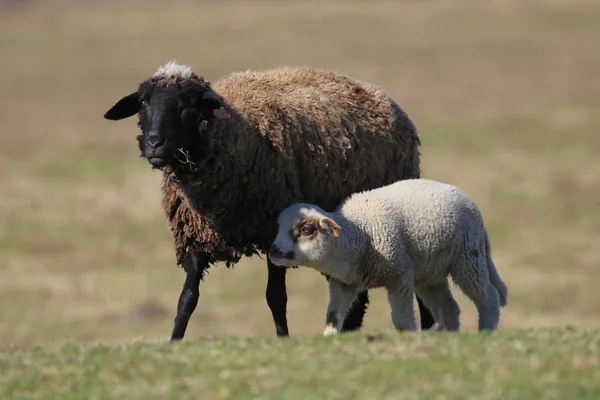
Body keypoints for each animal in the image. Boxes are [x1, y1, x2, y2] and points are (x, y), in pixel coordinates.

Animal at [101, 61, 434, 340]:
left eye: (188, 104)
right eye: (143, 102)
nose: (154, 144)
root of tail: (380, 93)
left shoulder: (274, 229)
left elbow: (275, 297)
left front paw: (283, 339)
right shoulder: (196, 236)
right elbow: (187, 299)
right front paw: (174, 341)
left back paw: (431, 327)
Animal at [270, 178, 508, 334]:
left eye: (306, 229)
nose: (274, 251)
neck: (358, 237)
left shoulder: (399, 276)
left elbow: (402, 321)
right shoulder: (342, 284)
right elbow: (332, 318)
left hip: (468, 257)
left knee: (488, 296)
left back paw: (486, 331)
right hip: (428, 273)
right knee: (449, 308)